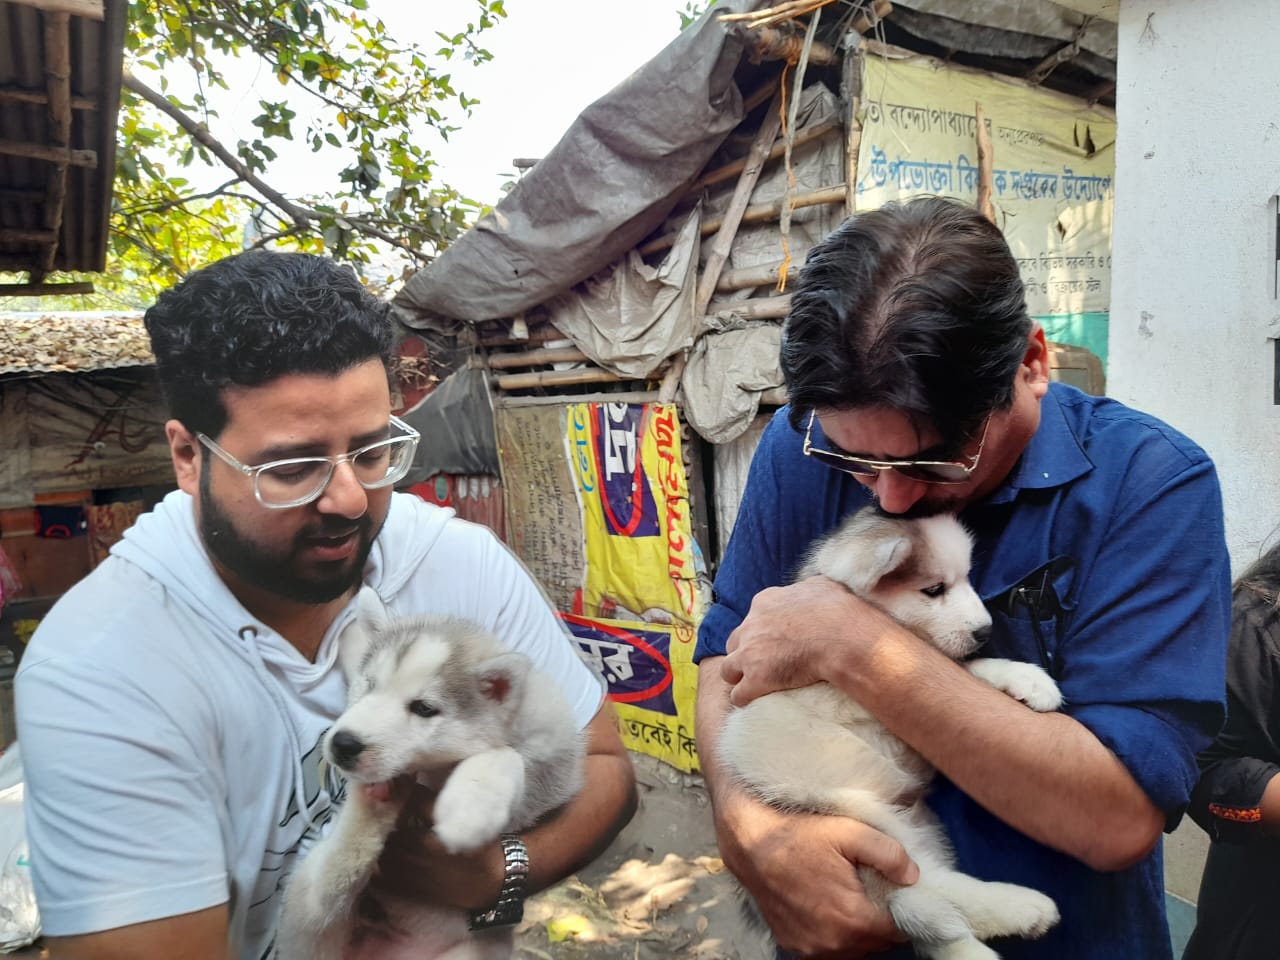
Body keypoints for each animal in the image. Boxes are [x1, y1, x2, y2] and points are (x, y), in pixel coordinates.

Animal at [280, 586, 586, 960]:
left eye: (424, 708)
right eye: (369, 685)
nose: (343, 744)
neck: (434, 769)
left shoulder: (553, 768)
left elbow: (507, 756)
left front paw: (469, 809)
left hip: (476, 950)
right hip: (306, 918)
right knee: (322, 895)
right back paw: (374, 804)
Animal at [727, 506, 1064, 957]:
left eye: (967, 577)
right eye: (934, 589)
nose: (985, 631)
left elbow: (964, 668)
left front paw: (1026, 679)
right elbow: (959, 667)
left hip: (915, 826)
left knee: (922, 902)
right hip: (859, 815)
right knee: (921, 887)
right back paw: (1020, 907)